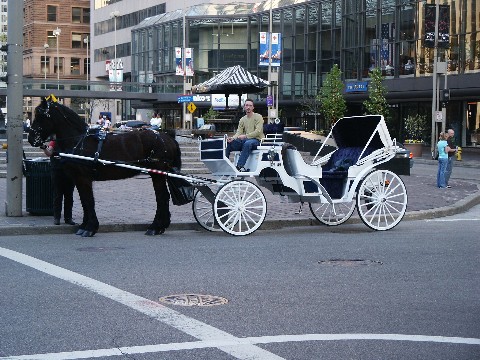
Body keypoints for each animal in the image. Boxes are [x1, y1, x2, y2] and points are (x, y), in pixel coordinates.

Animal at [28, 95, 182, 236]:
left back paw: (155, 227)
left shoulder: (83, 178)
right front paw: (84, 225)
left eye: (40, 116)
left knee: (162, 197)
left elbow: (88, 200)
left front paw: (90, 228)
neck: (78, 140)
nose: (30, 139)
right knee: (163, 197)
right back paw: (161, 226)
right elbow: (84, 201)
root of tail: (167, 138)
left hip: (157, 173)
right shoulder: (78, 179)